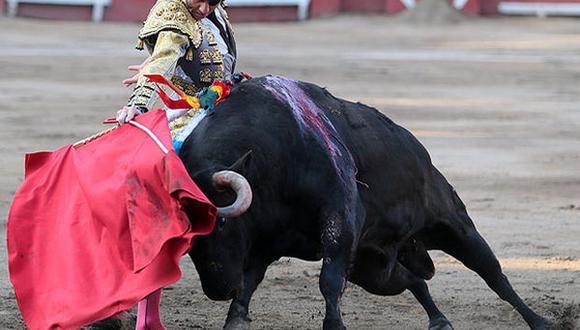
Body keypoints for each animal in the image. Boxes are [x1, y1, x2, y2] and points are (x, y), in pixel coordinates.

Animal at [179, 75, 552, 330]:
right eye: (188, 240)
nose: (219, 289)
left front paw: (335, 326)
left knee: (493, 275)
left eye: (222, 221)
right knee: (412, 279)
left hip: (454, 226)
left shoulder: (340, 218)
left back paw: (540, 321)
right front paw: (235, 318)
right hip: (372, 267)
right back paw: (439, 321)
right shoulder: (263, 244)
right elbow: (249, 287)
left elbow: (329, 281)